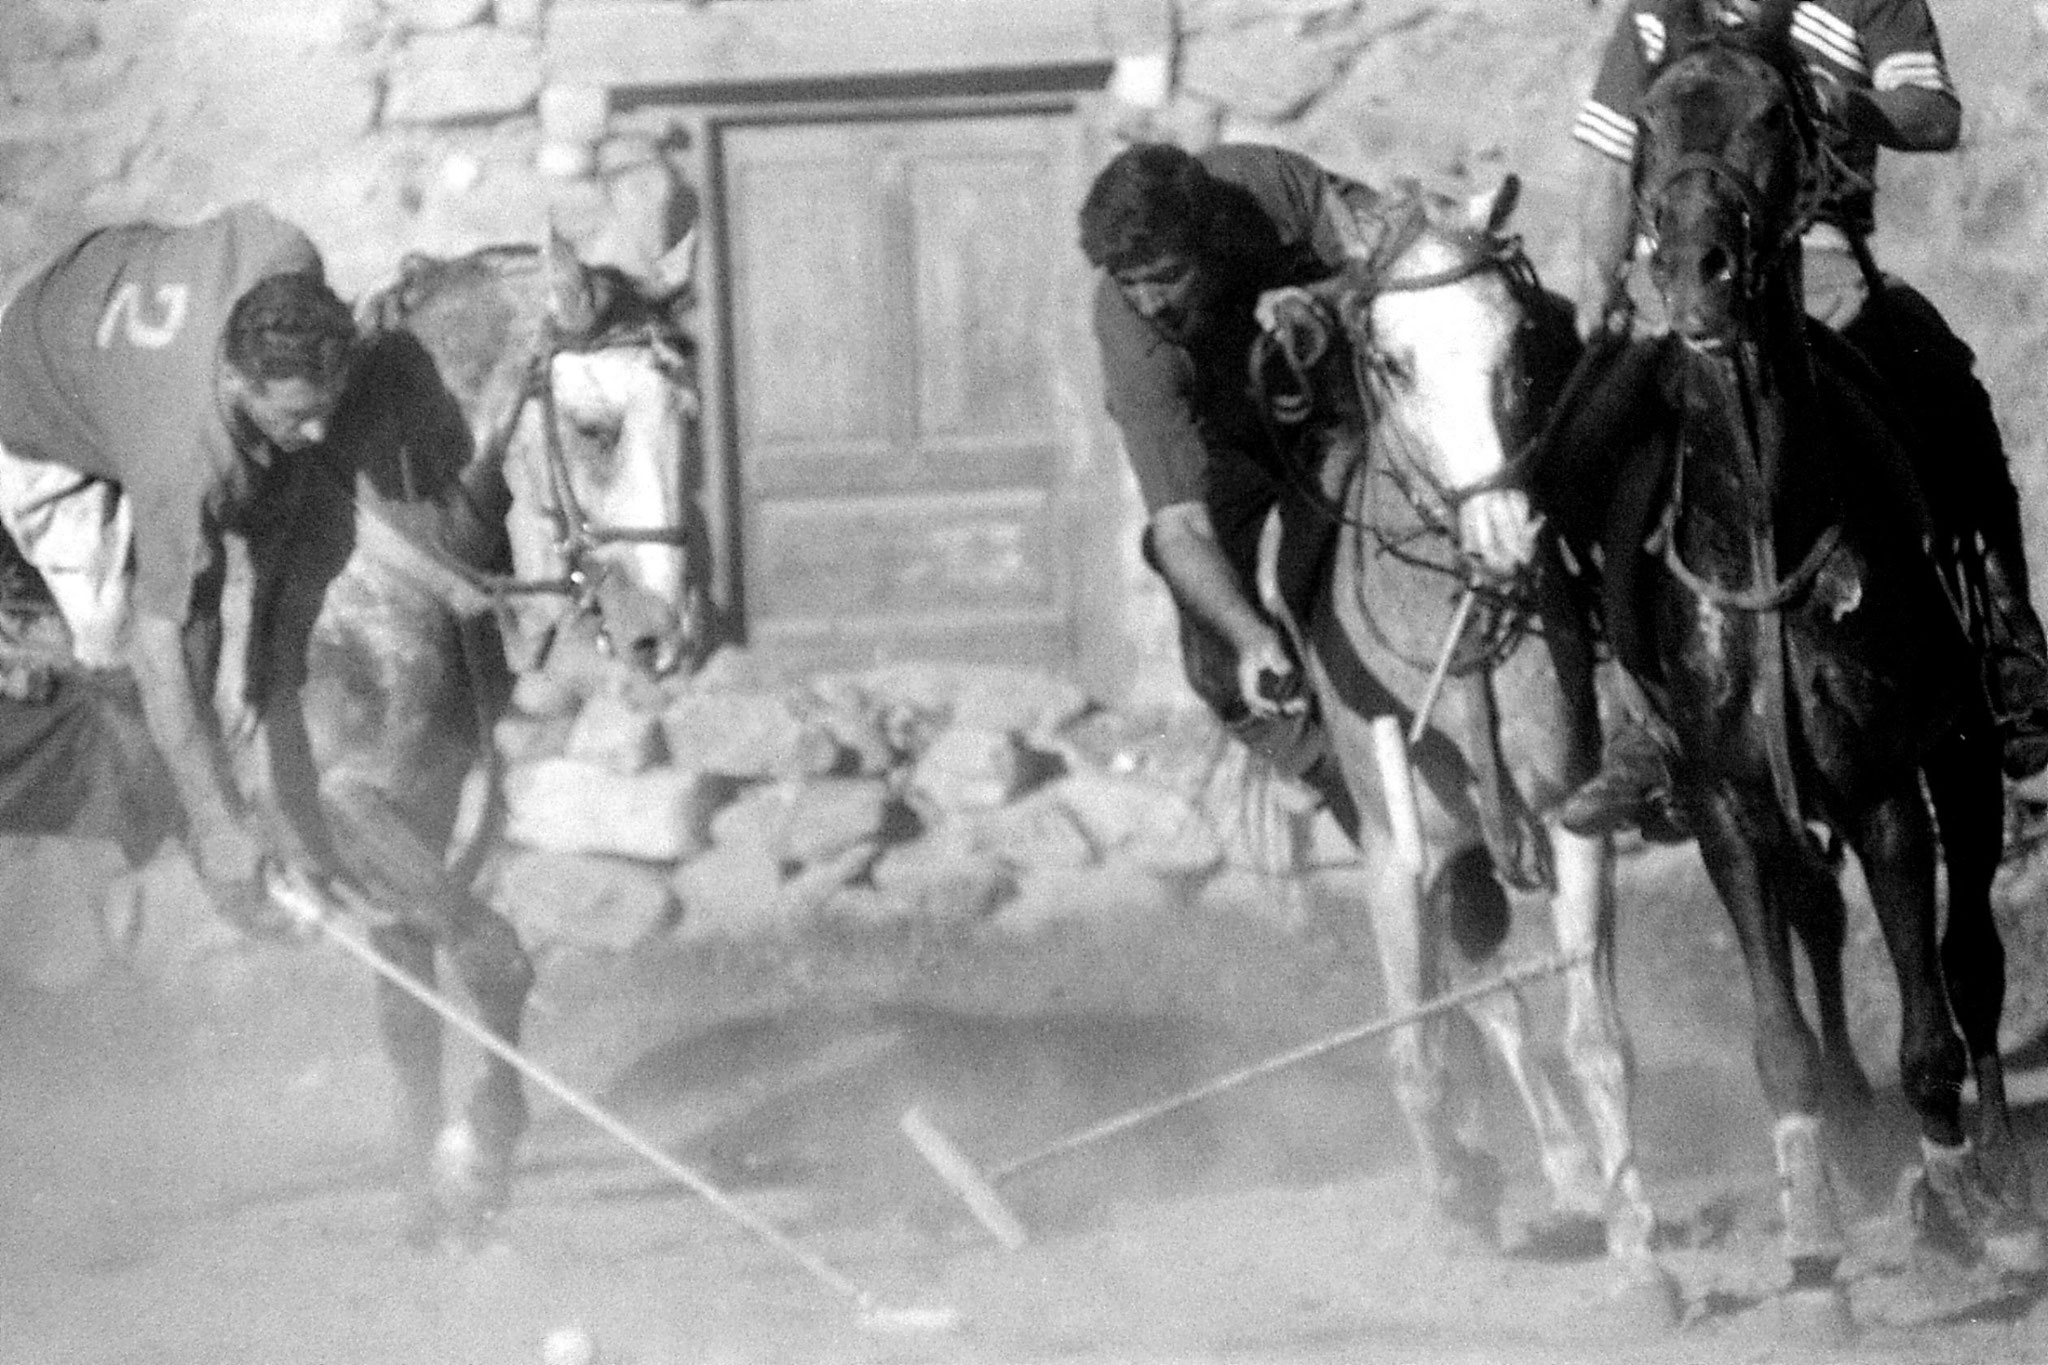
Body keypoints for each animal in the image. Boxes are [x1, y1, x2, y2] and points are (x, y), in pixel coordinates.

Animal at [237, 232, 704, 1252]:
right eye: (594, 428)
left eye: (691, 417)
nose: (663, 635)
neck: (373, 561)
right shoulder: (347, 801)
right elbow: (494, 953)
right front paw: (473, 1157)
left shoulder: (421, 803)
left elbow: (414, 1006)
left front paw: (433, 1186)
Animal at [1245, 179, 1679, 1309]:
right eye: (1394, 363)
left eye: (1517, 348)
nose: (1503, 536)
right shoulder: (1398, 860)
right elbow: (1418, 1044)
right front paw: (1451, 1208)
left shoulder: (1574, 820)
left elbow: (1596, 1036)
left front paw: (1637, 1245)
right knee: (1466, 1003)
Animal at [1540, 13, 2048, 1334]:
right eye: (1650, 119)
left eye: (1775, 117)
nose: (1696, 271)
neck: (1765, 537)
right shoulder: (1727, 805)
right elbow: (1775, 1044)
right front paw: (1814, 1251)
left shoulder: (1882, 790)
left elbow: (1930, 1018)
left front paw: (1950, 1214)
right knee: (1828, 932)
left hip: (1964, 761)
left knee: (1972, 970)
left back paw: (1995, 1177)